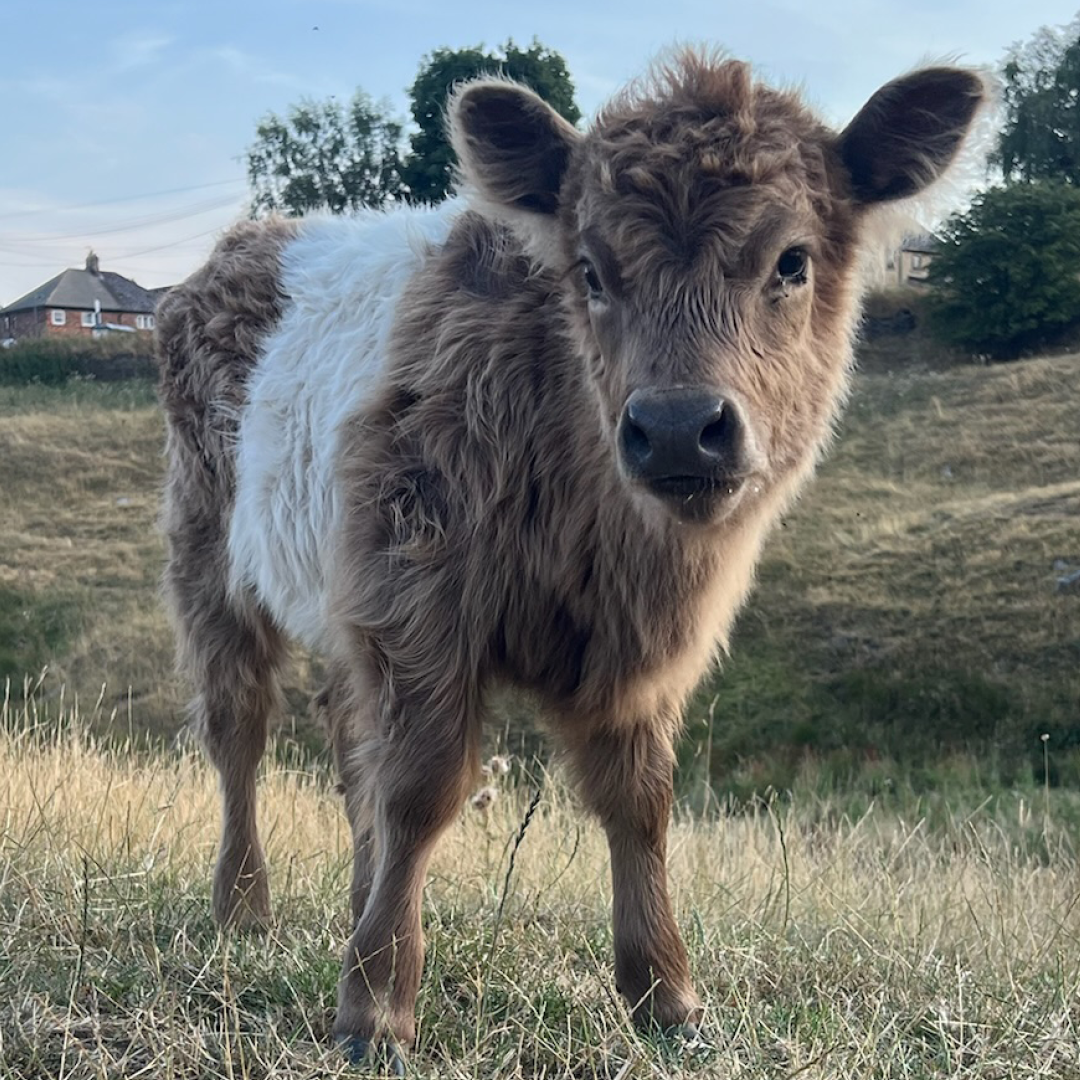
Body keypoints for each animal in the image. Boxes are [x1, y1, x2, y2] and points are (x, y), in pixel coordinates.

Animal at [156, 50, 992, 1072]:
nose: (677, 425)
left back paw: (353, 905)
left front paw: (665, 995)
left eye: (791, 261)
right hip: (208, 549)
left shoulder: (632, 647)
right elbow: (422, 790)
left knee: (349, 745)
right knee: (240, 725)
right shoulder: (420, 593)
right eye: (590, 270)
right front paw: (377, 1009)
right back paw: (244, 909)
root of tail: (240, 246)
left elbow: (640, 802)